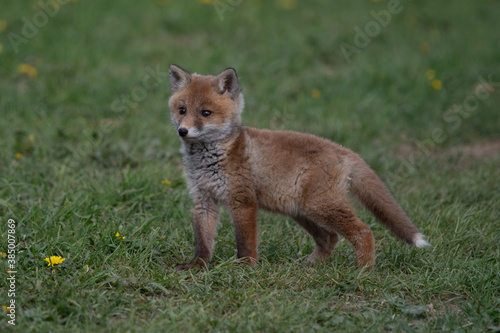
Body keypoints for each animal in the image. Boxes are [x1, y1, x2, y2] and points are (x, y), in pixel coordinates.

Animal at [168, 64, 430, 270]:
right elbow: (202, 242)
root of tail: (344, 149)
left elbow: (245, 242)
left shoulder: (243, 200)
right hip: (301, 210)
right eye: (182, 110)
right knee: (330, 238)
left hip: (320, 206)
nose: (182, 131)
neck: (210, 159)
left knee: (363, 231)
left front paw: (245, 268)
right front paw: (197, 267)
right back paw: (310, 266)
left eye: (206, 113)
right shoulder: (204, 200)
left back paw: (363, 272)